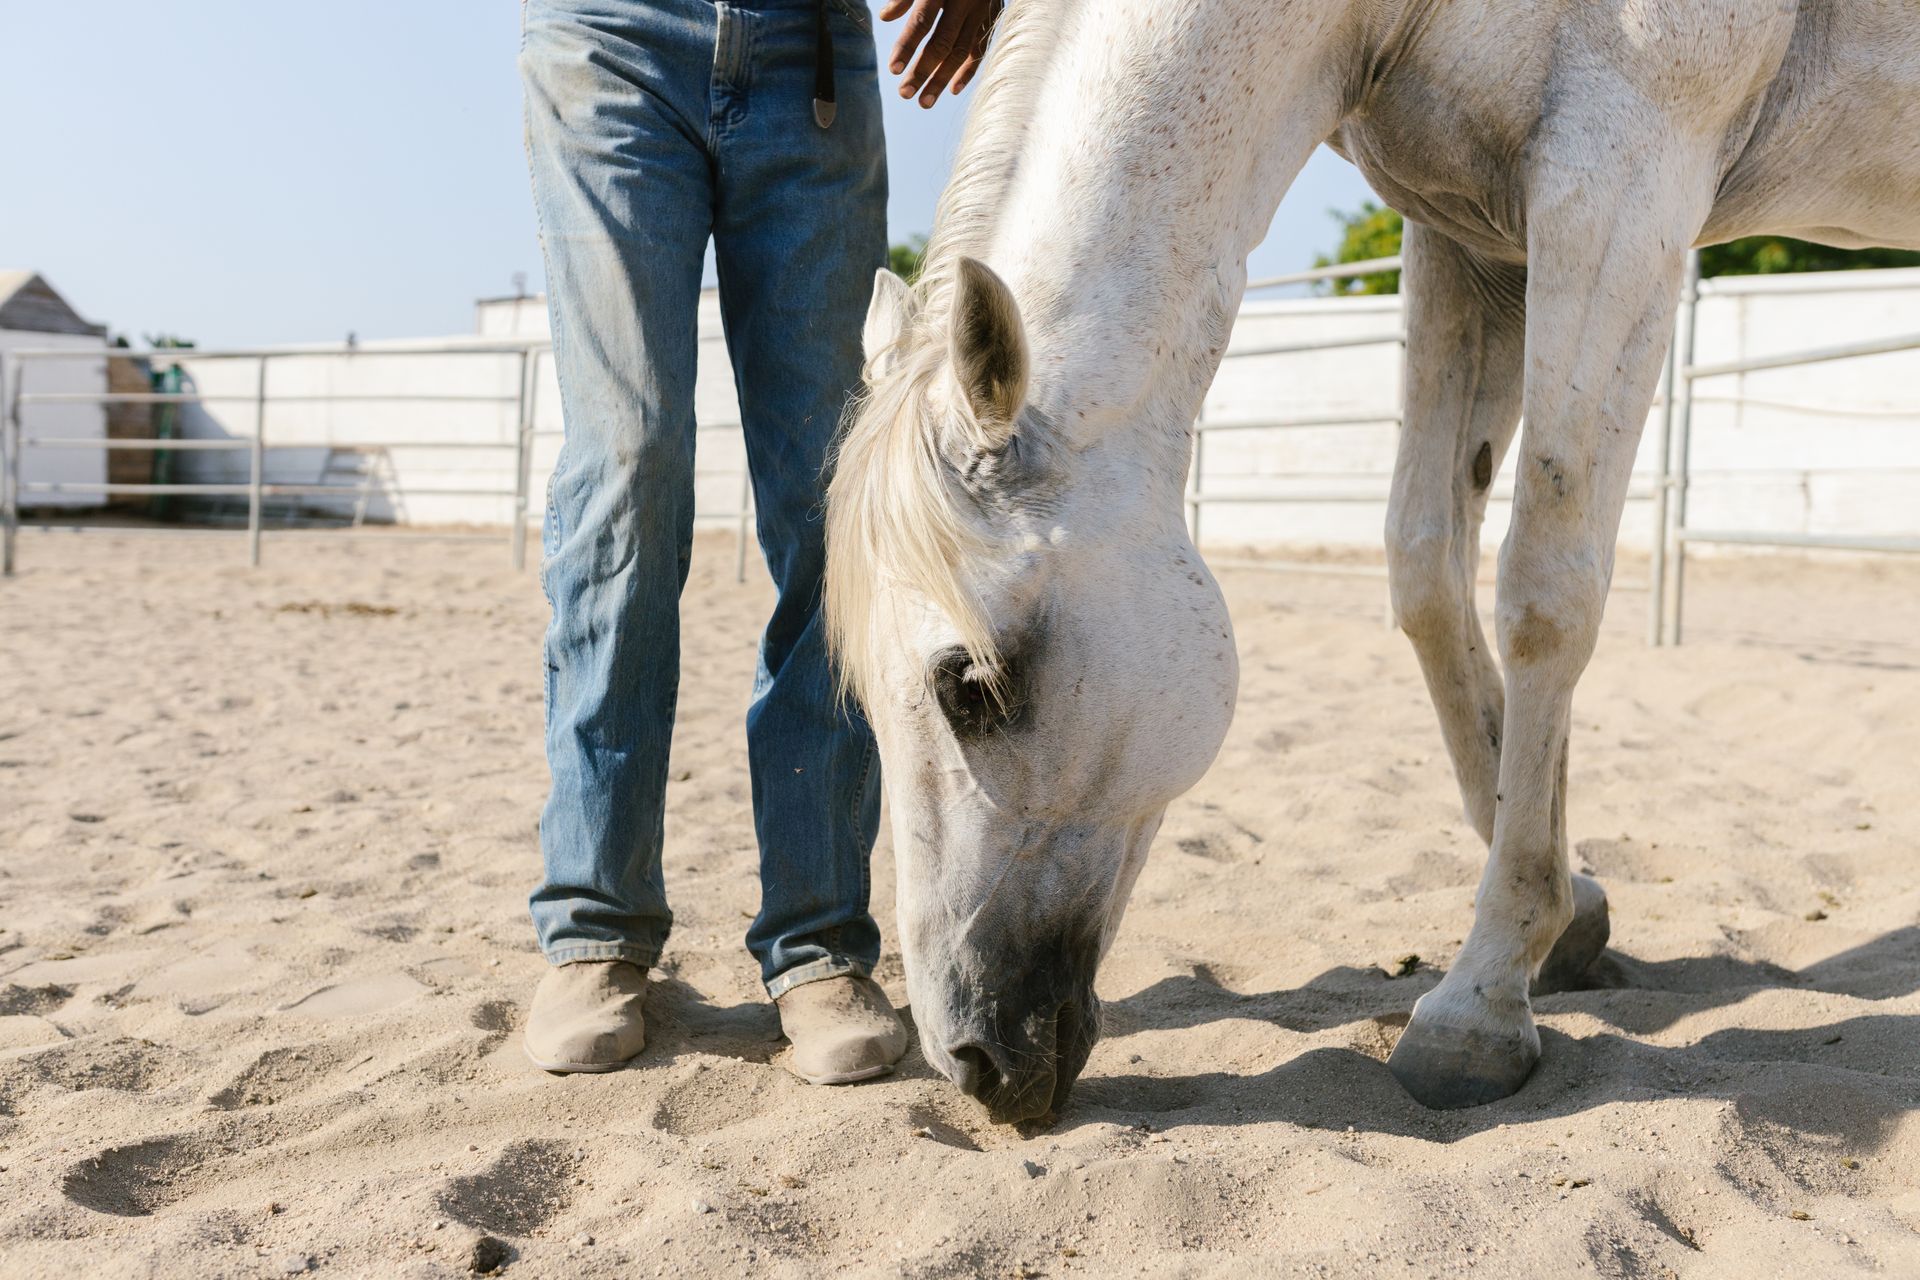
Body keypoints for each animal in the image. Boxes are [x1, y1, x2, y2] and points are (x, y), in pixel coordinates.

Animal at [825, 0, 1920, 1121]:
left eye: (971, 687)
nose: (970, 1058)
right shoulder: (1470, 236)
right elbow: (1427, 565)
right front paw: (1569, 916)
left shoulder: (1621, 186)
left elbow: (1544, 591)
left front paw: (1480, 1002)